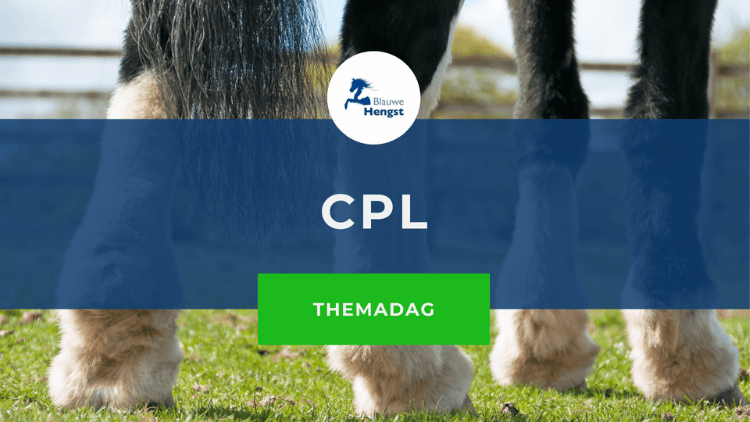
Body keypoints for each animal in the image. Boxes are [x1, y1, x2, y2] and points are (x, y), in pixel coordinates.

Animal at [46, 0, 747, 416]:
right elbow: (668, 101)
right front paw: (683, 355)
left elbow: (550, 106)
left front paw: (543, 342)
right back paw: (410, 369)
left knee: (153, 45)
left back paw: (113, 348)